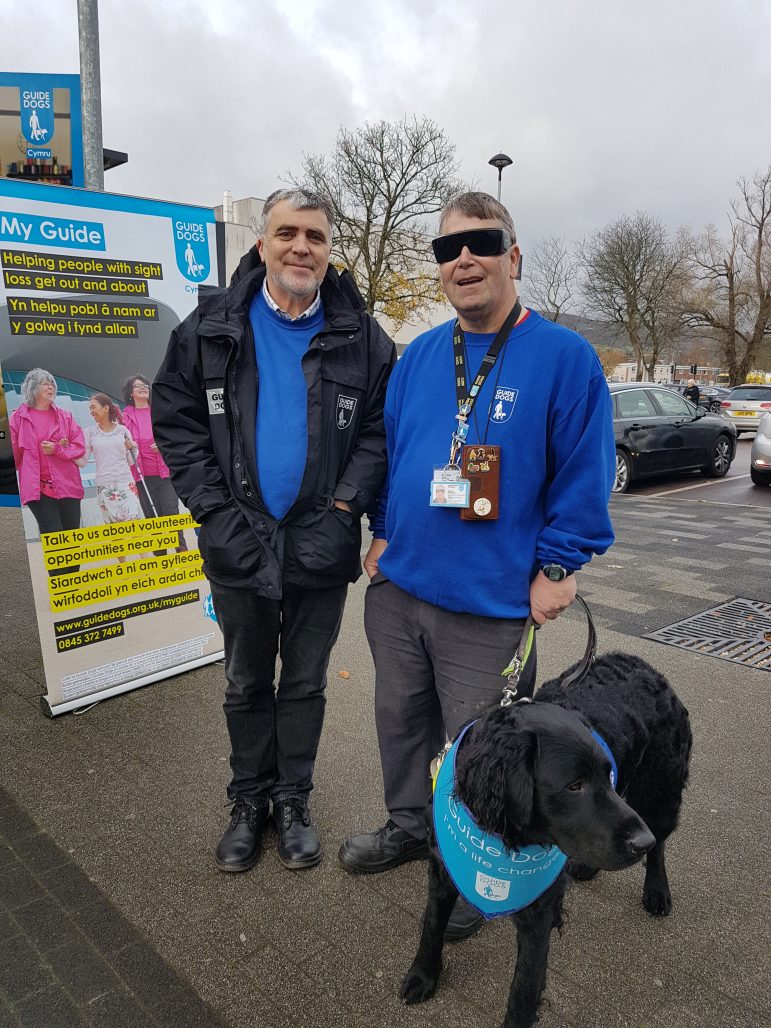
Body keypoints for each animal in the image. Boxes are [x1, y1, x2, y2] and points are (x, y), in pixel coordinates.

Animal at [405, 653, 694, 1023]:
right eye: (575, 785)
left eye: (606, 773)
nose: (639, 842)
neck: (498, 840)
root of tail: (642, 664)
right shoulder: (442, 869)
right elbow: (431, 925)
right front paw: (422, 976)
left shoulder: (538, 914)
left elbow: (524, 989)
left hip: (660, 792)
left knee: (660, 844)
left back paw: (657, 891)